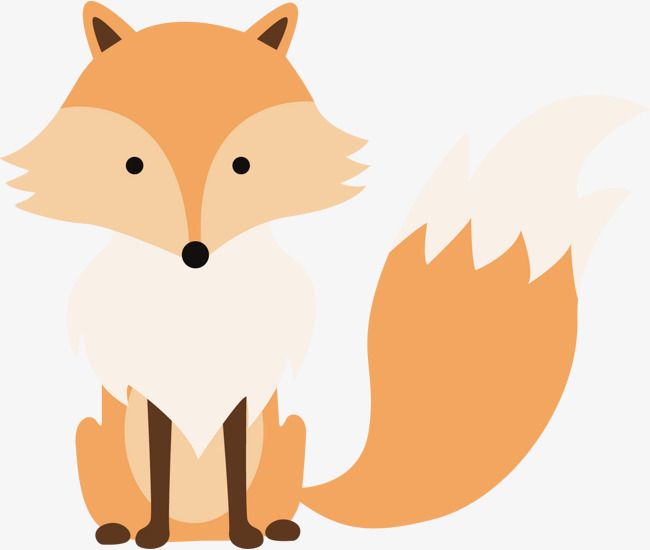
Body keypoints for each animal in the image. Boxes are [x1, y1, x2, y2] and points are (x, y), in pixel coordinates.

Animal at [2, 2, 639, 549]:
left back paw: (273, 527)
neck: (198, 310)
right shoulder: (152, 396)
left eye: (243, 164)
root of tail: (197, 532)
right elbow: (158, 476)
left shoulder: (244, 396)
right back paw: (122, 529)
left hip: (292, 433)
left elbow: (234, 474)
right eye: (132, 165)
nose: (195, 254)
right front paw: (151, 535)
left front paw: (246, 535)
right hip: (91, 435)